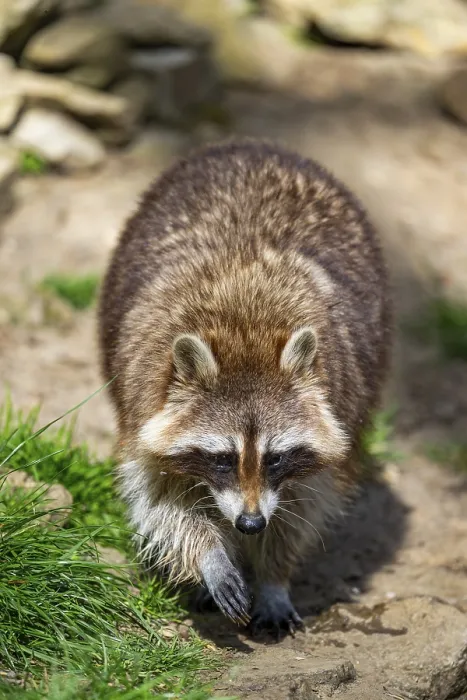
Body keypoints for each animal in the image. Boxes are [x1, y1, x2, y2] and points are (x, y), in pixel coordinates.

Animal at [98, 139, 392, 634]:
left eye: (275, 458)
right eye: (221, 458)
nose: (250, 524)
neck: (245, 335)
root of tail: (256, 146)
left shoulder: (340, 402)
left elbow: (304, 505)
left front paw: (274, 576)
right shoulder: (144, 398)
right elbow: (161, 500)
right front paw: (211, 557)